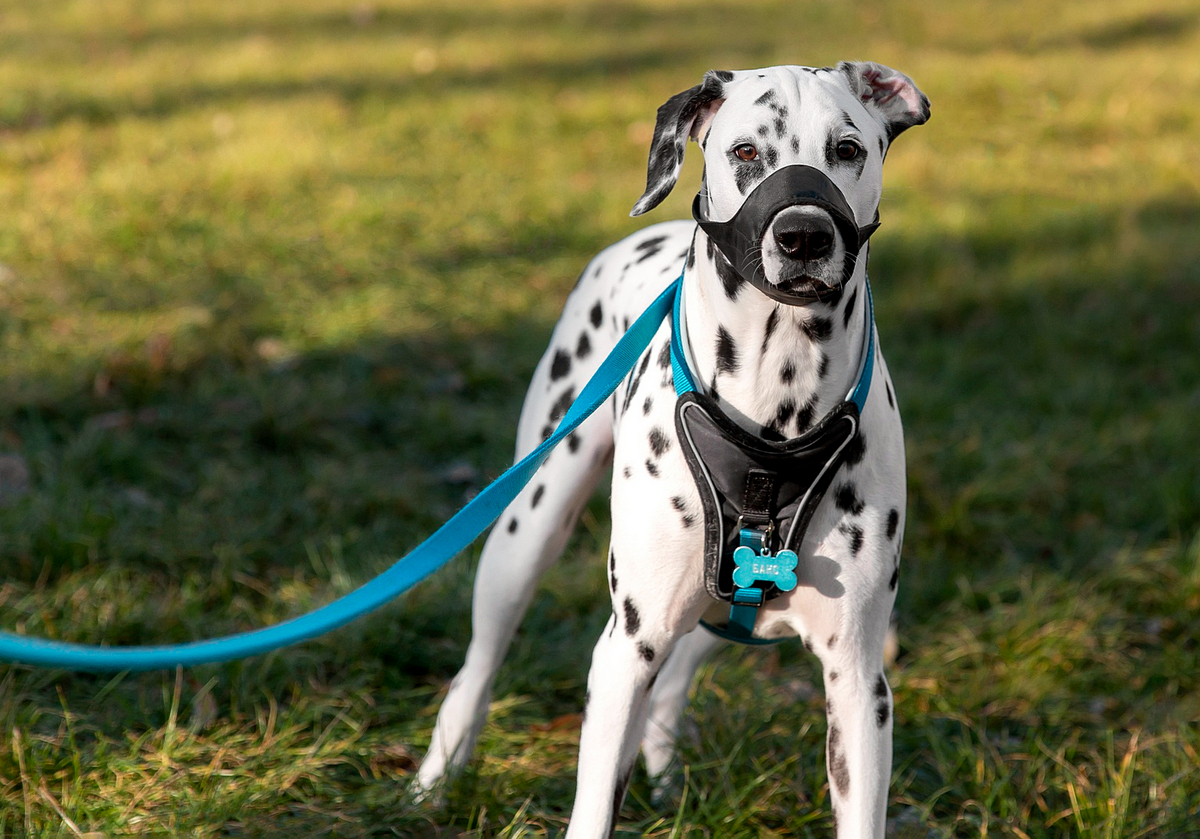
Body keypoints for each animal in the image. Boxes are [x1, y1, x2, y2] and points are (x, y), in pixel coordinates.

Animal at [417, 62, 931, 835]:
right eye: (745, 151)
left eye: (847, 149)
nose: (803, 236)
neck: (776, 414)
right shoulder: (623, 654)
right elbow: (593, 805)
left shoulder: (858, 682)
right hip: (526, 532)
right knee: (477, 666)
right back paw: (436, 778)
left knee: (680, 672)